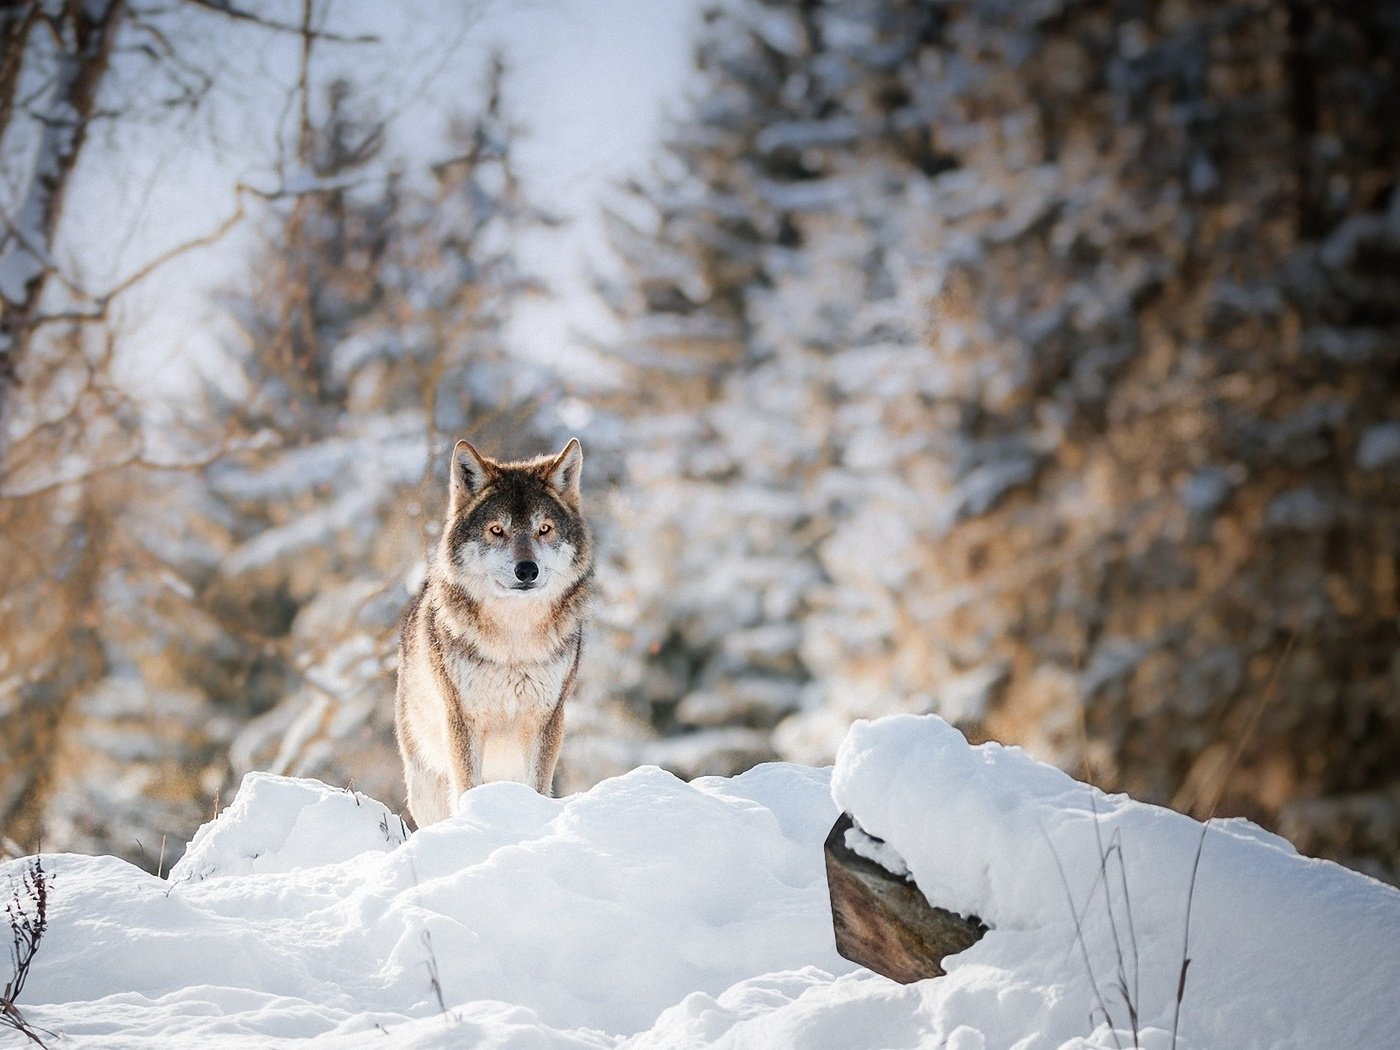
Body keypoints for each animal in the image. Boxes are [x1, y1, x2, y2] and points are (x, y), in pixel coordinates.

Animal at [394, 439, 590, 828]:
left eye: (544, 529)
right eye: (497, 530)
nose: (527, 570)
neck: (513, 641)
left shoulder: (546, 720)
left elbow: (537, 786)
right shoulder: (462, 721)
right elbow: (467, 787)